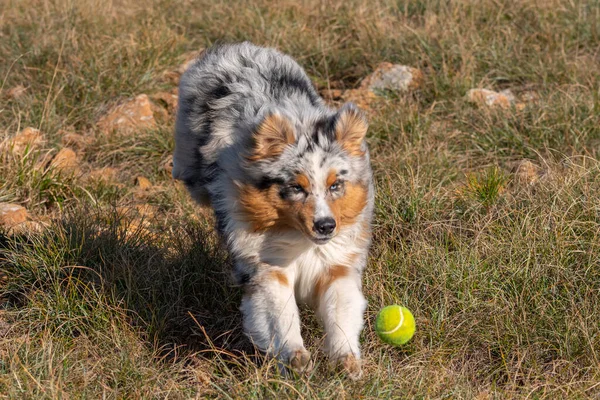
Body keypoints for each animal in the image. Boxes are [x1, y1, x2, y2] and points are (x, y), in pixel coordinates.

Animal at [171, 42, 372, 380]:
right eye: (296, 187)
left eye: (335, 185)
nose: (326, 226)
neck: (301, 239)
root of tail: (234, 47)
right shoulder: (267, 268)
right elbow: (280, 315)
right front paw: (296, 360)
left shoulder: (337, 264)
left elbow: (340, 313)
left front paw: (347, 362)